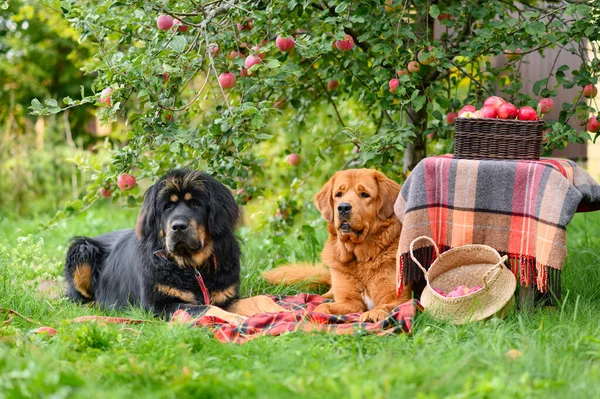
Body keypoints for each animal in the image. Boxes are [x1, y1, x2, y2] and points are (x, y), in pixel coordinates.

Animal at [63, 169, 284, 324]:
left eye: (196, 204)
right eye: (167, 206)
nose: (178, 226)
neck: (193, 267)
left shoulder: (226, 296)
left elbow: (260, 299)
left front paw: (282, 310)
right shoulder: (159, 306)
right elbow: (208, 309)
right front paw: (240, 320)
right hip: (82, 249)